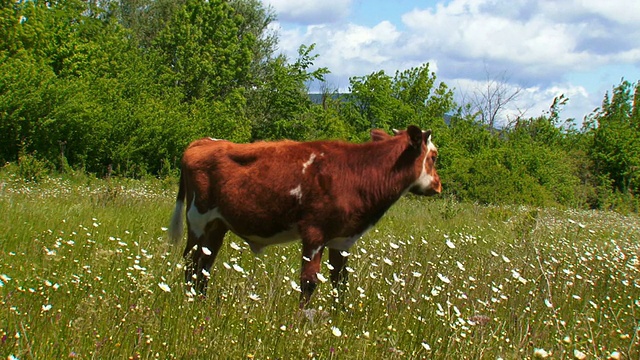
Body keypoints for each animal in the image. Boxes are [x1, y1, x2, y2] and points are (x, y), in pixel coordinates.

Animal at [168, 125, 442, 308]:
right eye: (434, 156)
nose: (438, 185)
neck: (357, 172)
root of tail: (202, 141)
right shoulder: (314, 233)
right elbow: (309, 281)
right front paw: (300, 323)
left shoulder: (342, 240)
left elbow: (340, 281)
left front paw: (340, 318)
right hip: (198, 220)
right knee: (191, 262)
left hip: (217, 226)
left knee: (204, 265)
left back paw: (200, 303)